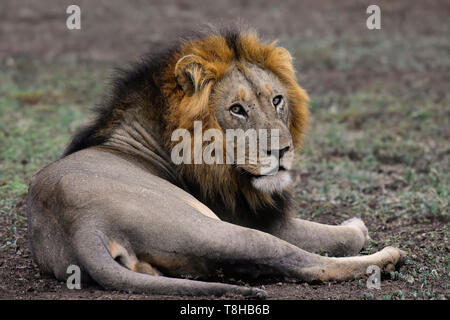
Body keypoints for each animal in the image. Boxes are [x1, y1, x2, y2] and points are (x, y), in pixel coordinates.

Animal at [26, 26, 406, 298]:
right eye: (236, 109)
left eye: (277, 100)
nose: (281, 150)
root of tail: (82, 226)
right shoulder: (256, 218)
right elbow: (340, 238)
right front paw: (355, 226)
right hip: (215, 227)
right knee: (303, 262)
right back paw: (387, 258)